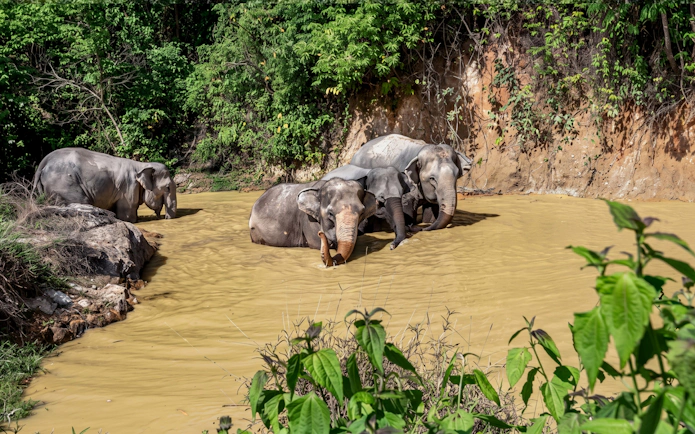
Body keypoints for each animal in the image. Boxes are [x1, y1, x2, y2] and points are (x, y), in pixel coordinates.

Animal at [33, 147, 177, 223]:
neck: (142, 165)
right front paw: (132, 221)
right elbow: (127, 215)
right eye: (167, 187)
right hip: (63, 184)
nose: (166, 218)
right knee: (81, 201)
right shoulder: (128, 188)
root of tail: (43, 163)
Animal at [249, 178, 377, 266]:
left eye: (362, 212)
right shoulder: (308, 220)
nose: (321, 233)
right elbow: (316, 244)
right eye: (330, 213)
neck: (320, 189)